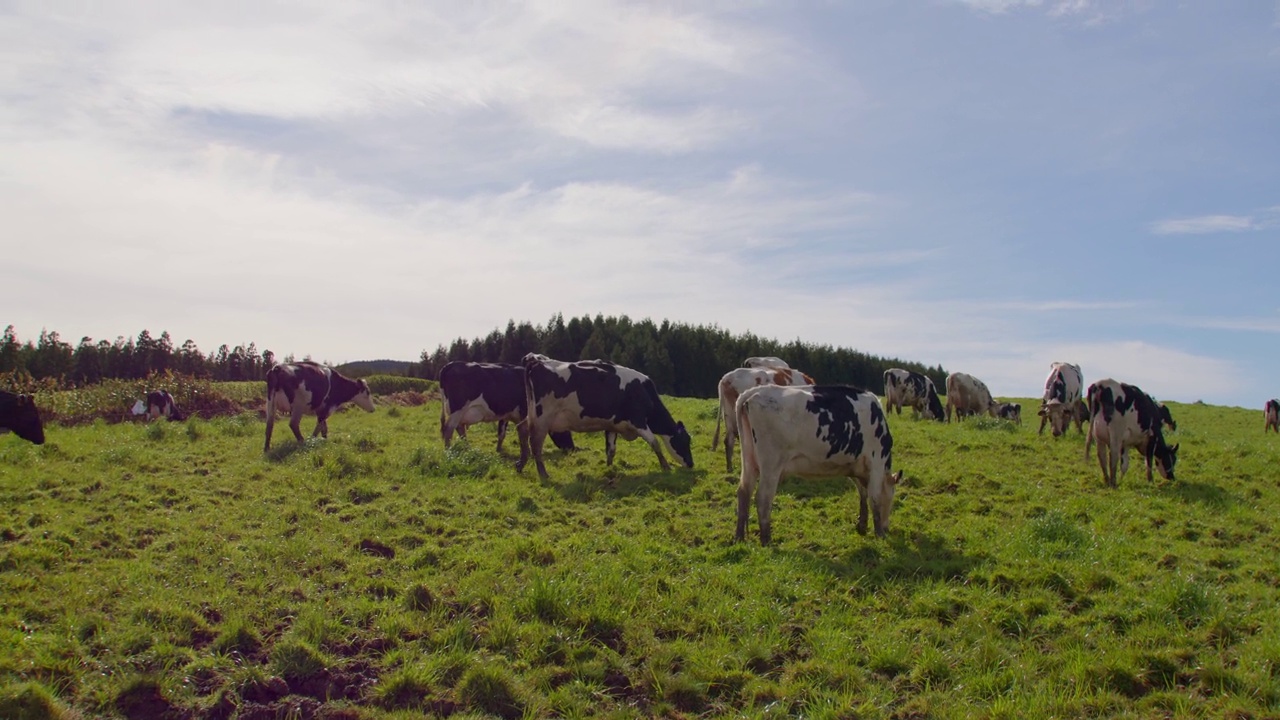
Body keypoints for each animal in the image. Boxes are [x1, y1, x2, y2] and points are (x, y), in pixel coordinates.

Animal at [442, 361, 578, 456]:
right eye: (566, 430)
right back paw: (449, 451)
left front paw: (499, 450)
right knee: (448, 430)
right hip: (457, 409)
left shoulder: (506, 414)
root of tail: (451, 364)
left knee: (460, 429)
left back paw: (467, 448)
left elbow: (501, 433)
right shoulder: (525, 413)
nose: (572, 448)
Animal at [524, 351, 696, 476]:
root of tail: (538, 362)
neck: (643, 392)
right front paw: (666, 467)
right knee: (536, 446)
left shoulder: (613, 426)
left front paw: (609, 468)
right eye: (685, 441)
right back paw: (543, 474)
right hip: (542, 420)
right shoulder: (639, 421)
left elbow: (611, 450)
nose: (691, 464)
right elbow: (655, 443)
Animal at [737, 384, 906, 540]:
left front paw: (862, 526)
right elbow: (874, 498)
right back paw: (766, 541)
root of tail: (755, 391)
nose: (887, 528)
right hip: (771, 465)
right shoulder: (876, 463)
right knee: (763, 498)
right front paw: (880, 534)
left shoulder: (857, 467)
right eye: (892, 496)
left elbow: (863, 495)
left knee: (744, 492)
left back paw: (739, 538)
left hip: (749, 461)